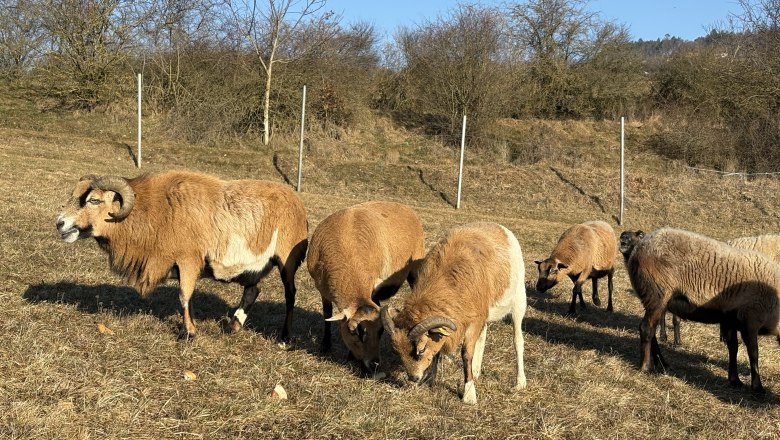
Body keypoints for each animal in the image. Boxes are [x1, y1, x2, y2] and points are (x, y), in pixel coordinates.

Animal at [55, 170, 309, 341]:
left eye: (94, 200)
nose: (60, 224)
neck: (155, 212)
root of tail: (298, 202)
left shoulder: (188, 260)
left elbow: (184, 296)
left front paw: (187, 334)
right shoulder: (185, 266)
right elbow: (190, 297)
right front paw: (192, 326)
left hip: (287, 260)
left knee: (290, 295)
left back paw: (285, 336)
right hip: (255, 265)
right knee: (252, 291)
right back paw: (233, 326)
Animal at [306, 201, 425, 377]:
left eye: (381, 331)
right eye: (354, 331)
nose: (374, 363)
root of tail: (404, 206)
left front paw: (350, 357)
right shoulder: (322, 290)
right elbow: (327, 314)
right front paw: (325, 347)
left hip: (415, 269)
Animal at [381, 222, 526, 405]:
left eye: (420, 349)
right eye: (397, 350)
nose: (414, 378)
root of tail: (499, 227)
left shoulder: (473, 320)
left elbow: (466, 353)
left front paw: (469, 394)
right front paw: (430, 381)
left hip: (519, 301)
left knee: (517, 340)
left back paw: (520, 382)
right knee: (483, 335)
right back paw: (476, 371)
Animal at [626, 227, 780, 394]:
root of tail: (638, 248)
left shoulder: (729, 318)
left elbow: (733, 348)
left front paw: (735, 380)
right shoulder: (750, 319)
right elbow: (753, 353)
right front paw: (758, 387)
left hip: (656, 300)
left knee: (652, 330)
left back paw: (662, 363)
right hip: (657, 294)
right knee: (646, 329)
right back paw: (646, 367)